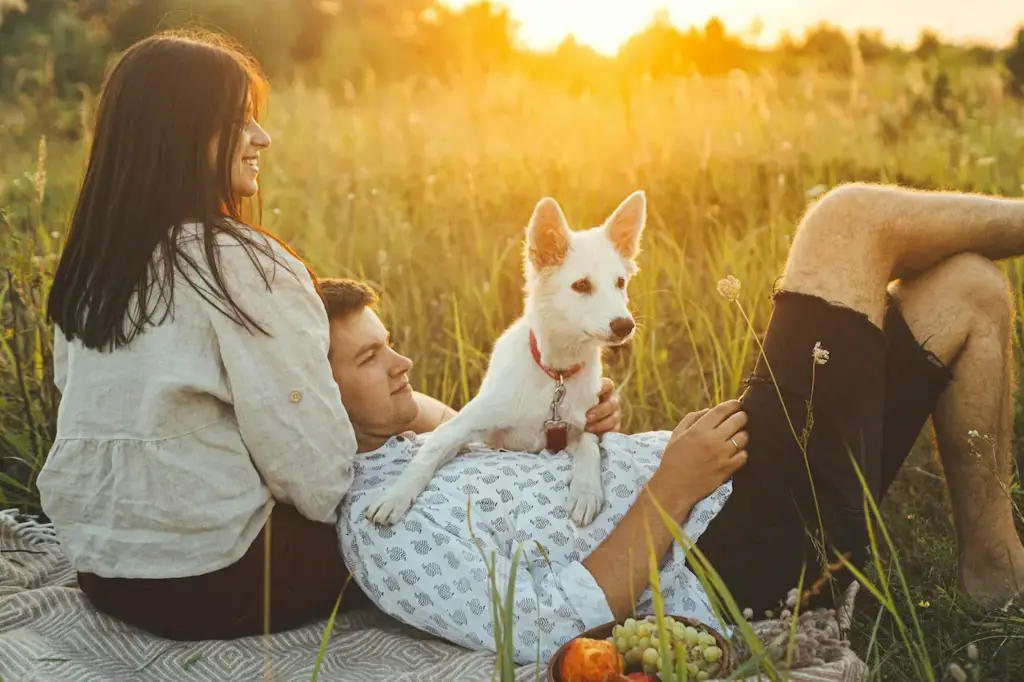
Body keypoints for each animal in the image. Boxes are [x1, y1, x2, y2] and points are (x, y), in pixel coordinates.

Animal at [364, 189, 643, 524]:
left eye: (620, 283)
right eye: (581, 285)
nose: (625, 325)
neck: (556, 375)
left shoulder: (585, 424)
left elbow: (589, 448)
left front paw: (586, 491)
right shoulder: (468, 426)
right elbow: (431, 449)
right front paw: (395, 496)